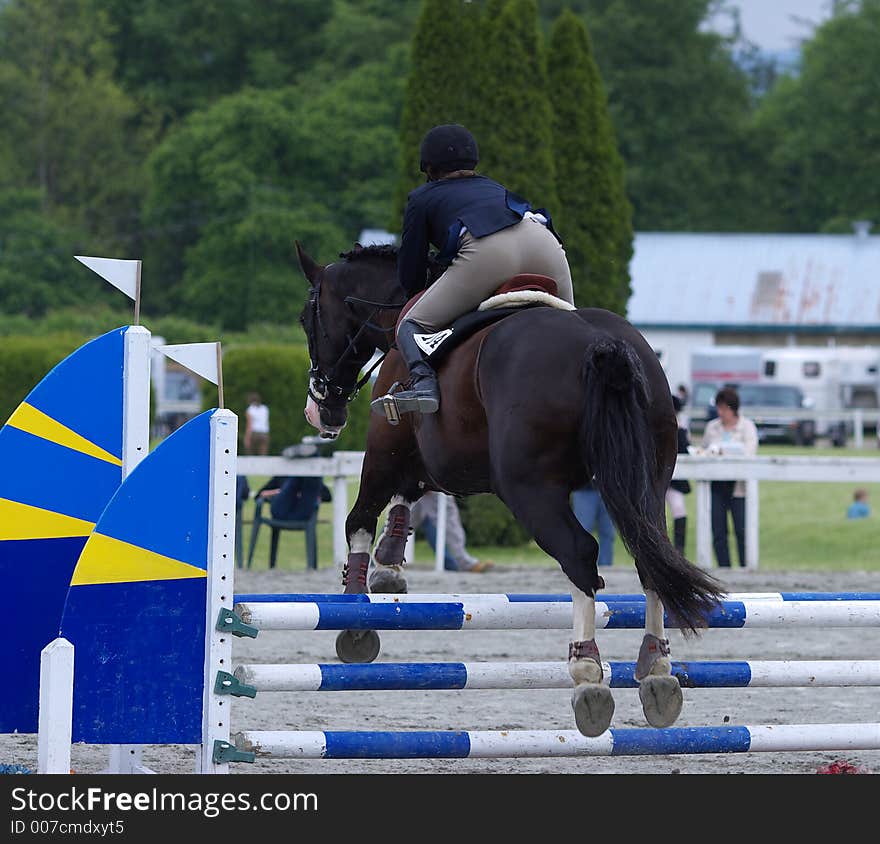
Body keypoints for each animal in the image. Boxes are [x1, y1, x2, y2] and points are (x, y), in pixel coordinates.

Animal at [296, 241, 720, 736]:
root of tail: (604, 346)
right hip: (646, 480)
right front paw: (388, 568)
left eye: (307, 318)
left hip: (529, 488)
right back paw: (657, 671)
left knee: (580, 554)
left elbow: (360, 518)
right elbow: (410, 495)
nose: (321, 411)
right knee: (650, 553)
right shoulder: (446, 462)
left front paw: (355, 617)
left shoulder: (390, 444)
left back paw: (588, 676)